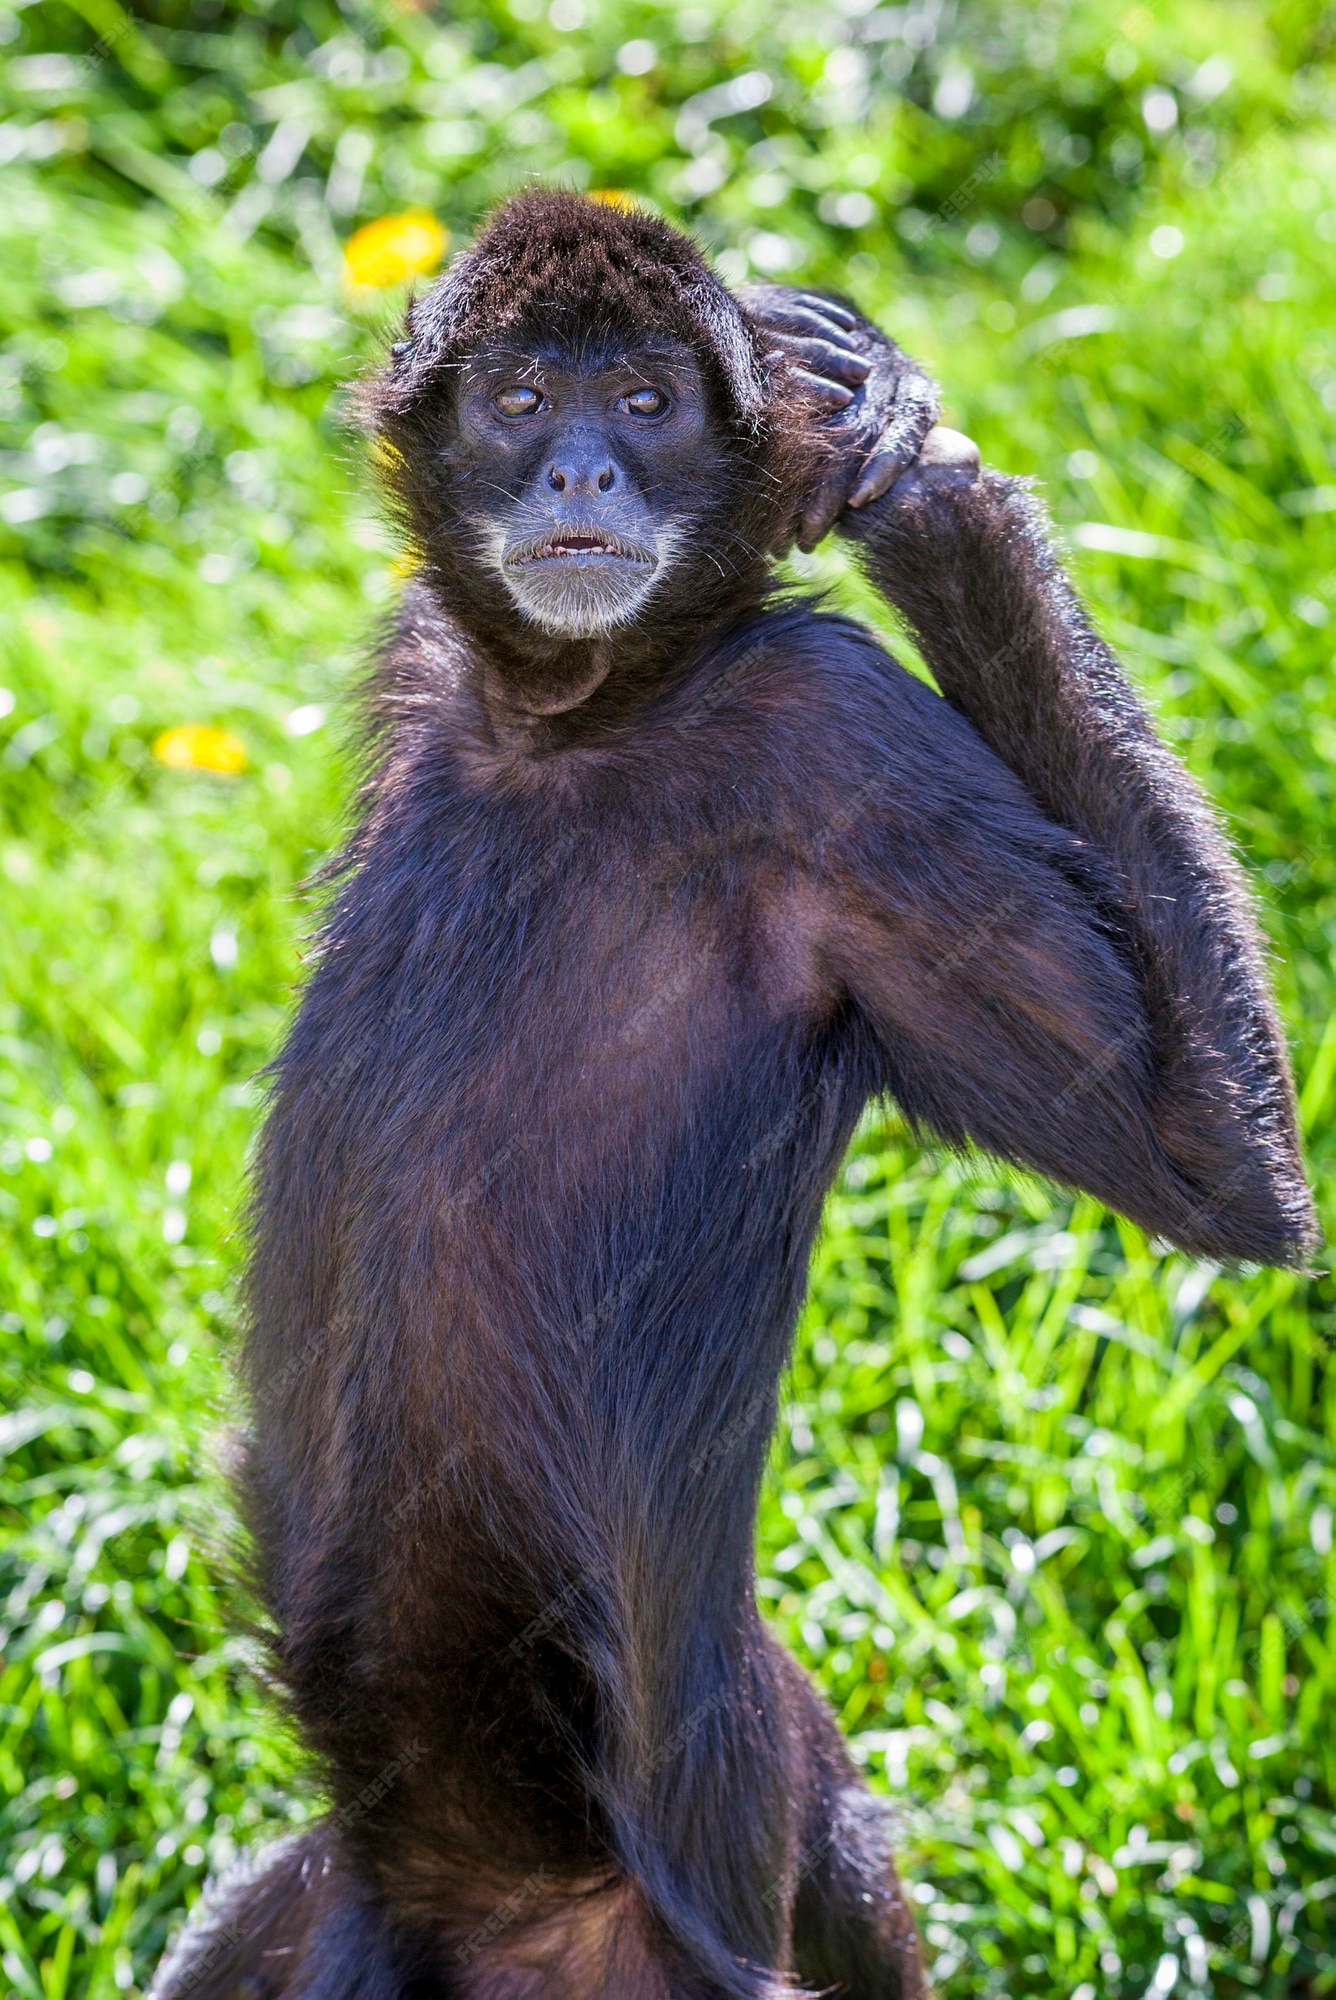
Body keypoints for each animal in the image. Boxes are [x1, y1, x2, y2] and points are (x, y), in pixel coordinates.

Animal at [149, 191, 1312, 2000]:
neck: (575, 724)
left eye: (646, 404)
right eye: (521, 398)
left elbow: (1227, 1177)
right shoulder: (434, 657)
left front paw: (911, 454)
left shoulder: (827, 733)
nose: (578, 472)